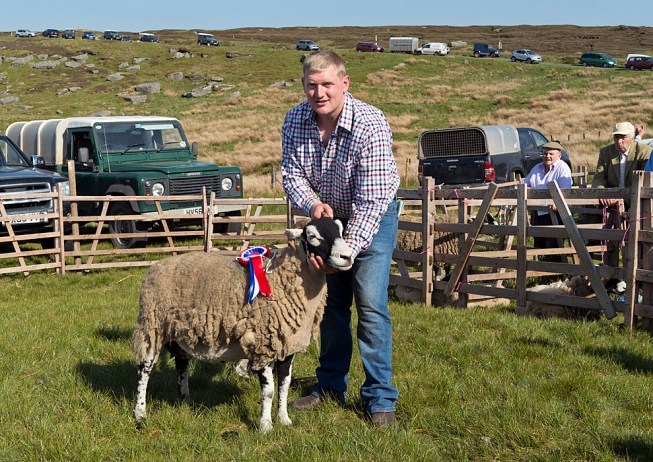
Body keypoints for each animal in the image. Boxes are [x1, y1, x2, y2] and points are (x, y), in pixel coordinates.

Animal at [132, 216, 353, 433]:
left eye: (340, 230)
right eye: (312, 236)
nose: (347, 257)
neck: (285, 278)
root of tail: (156, 266)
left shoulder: (287, 345)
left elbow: (284, 385)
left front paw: (284, 419)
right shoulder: (263, 343)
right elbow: (269, 391)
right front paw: (266, 426)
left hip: (180, 333)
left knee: (181, 365)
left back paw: (185, 399)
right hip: (153, 325)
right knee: (144, 370)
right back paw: (140, 414)